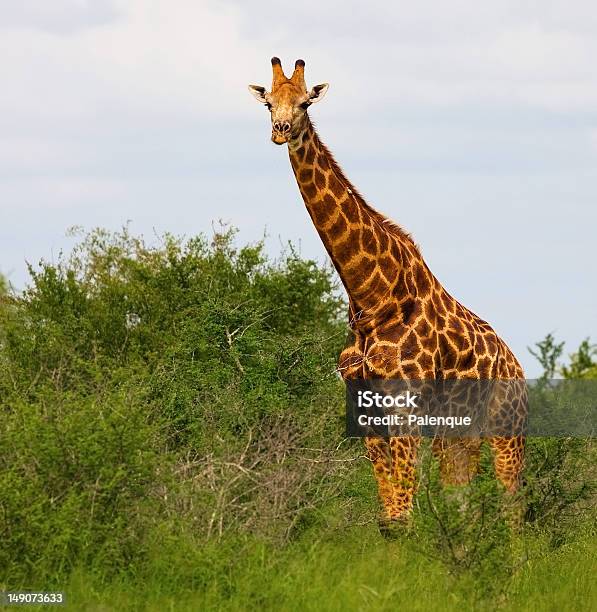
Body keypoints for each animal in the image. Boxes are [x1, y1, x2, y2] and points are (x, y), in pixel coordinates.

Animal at [249, 56, 524, 524]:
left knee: (513, 508)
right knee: (464, 506)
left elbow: (403, 516)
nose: (281, 130)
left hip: (507, 429)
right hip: (459, 437)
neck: (369, 296)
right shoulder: (364, 407)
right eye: (269, 102)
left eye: (305, 103)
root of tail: (518, 367)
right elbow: (390, 518)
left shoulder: (405, 405)